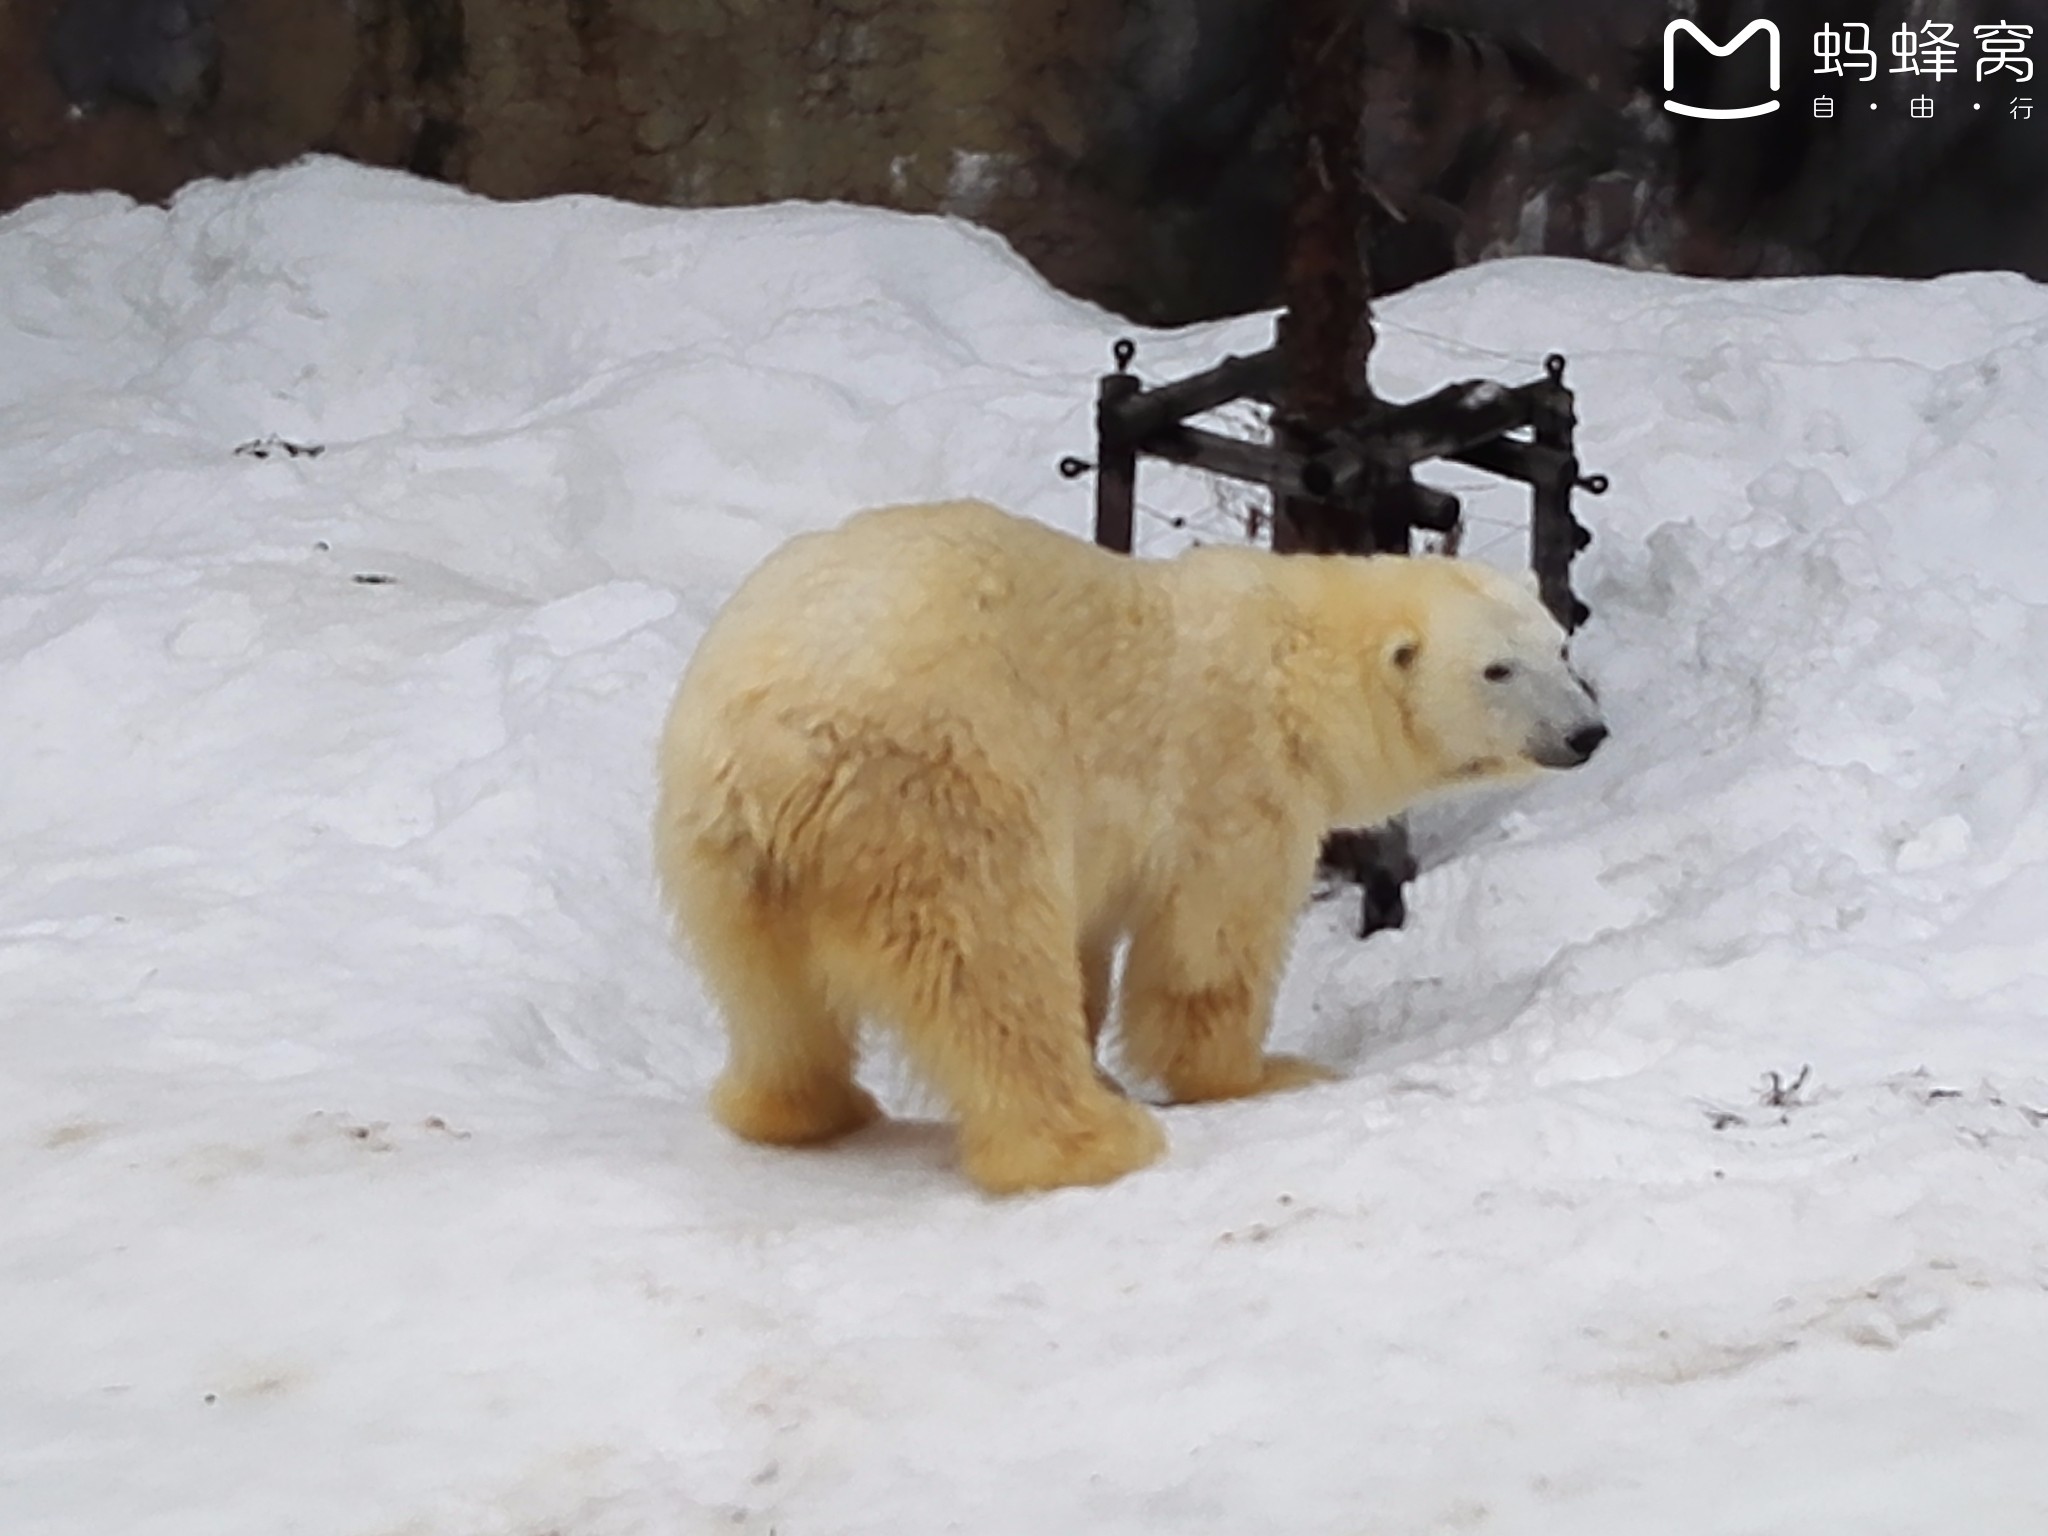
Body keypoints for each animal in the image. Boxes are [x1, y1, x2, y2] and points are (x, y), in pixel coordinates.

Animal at [655, 499, 1597, 1196]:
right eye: (1497, 670)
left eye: (1559, 645)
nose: (1588, 732)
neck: (1299, 662)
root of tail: (771, 755)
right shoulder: (1231, 774)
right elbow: (1209, 950)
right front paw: (1260, 1073)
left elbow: (1089, 947)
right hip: (939, 795)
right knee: (989, 967)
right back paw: (1091, 1139)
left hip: (715, 848)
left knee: (766, 993)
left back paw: (801, 1106)